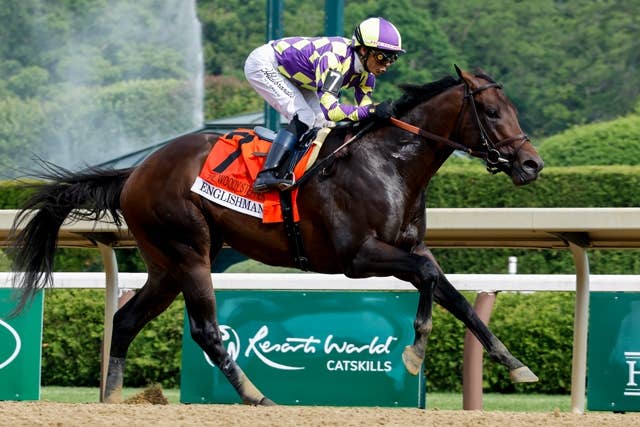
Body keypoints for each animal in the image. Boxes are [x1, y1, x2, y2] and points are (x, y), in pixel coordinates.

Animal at [9, 66, 543, 405]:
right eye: (492, 112)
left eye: (513, 107)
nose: (532, 163)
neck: (390, 163)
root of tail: (136, 171)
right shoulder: (358, 257)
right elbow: (430, 281)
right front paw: (414, 354)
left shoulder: (410, 247)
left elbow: (454, 294)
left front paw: (514, 362)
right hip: (189, 250)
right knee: (206, 330)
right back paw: (256, 396)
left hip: (166, 263)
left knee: (124, 320)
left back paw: (113, 398)